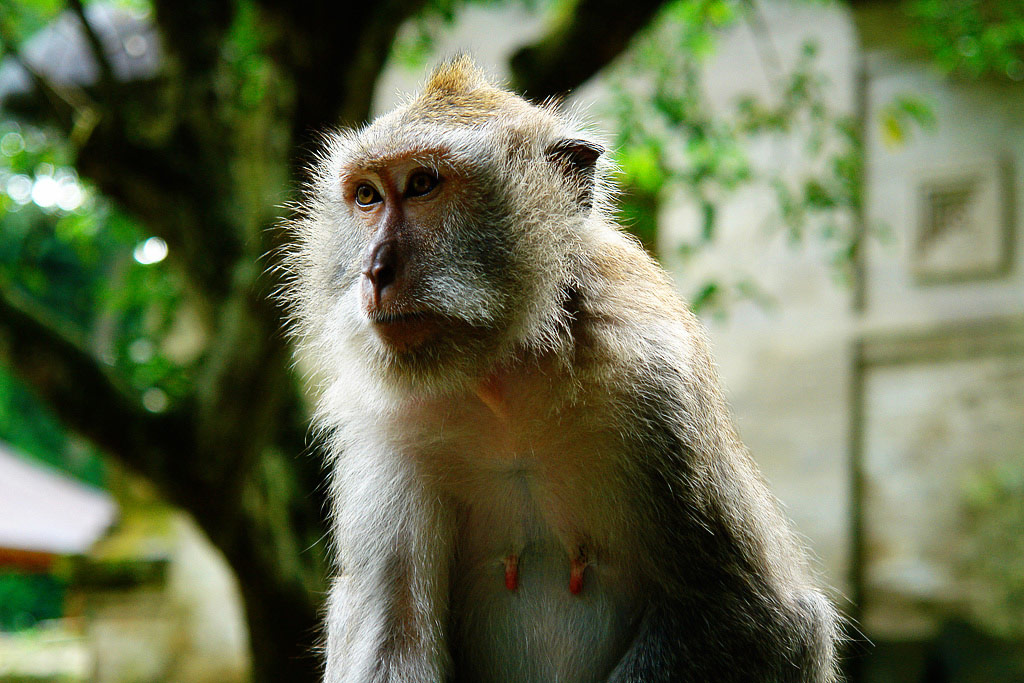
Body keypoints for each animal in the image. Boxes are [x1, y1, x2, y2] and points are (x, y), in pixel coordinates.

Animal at [281, 56, 840, 683]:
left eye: (422, 184)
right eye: (367, 196)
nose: (374, 271)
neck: (504, 378)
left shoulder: (657, 387)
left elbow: (761, 617)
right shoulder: (385, 427)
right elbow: (393, 637)